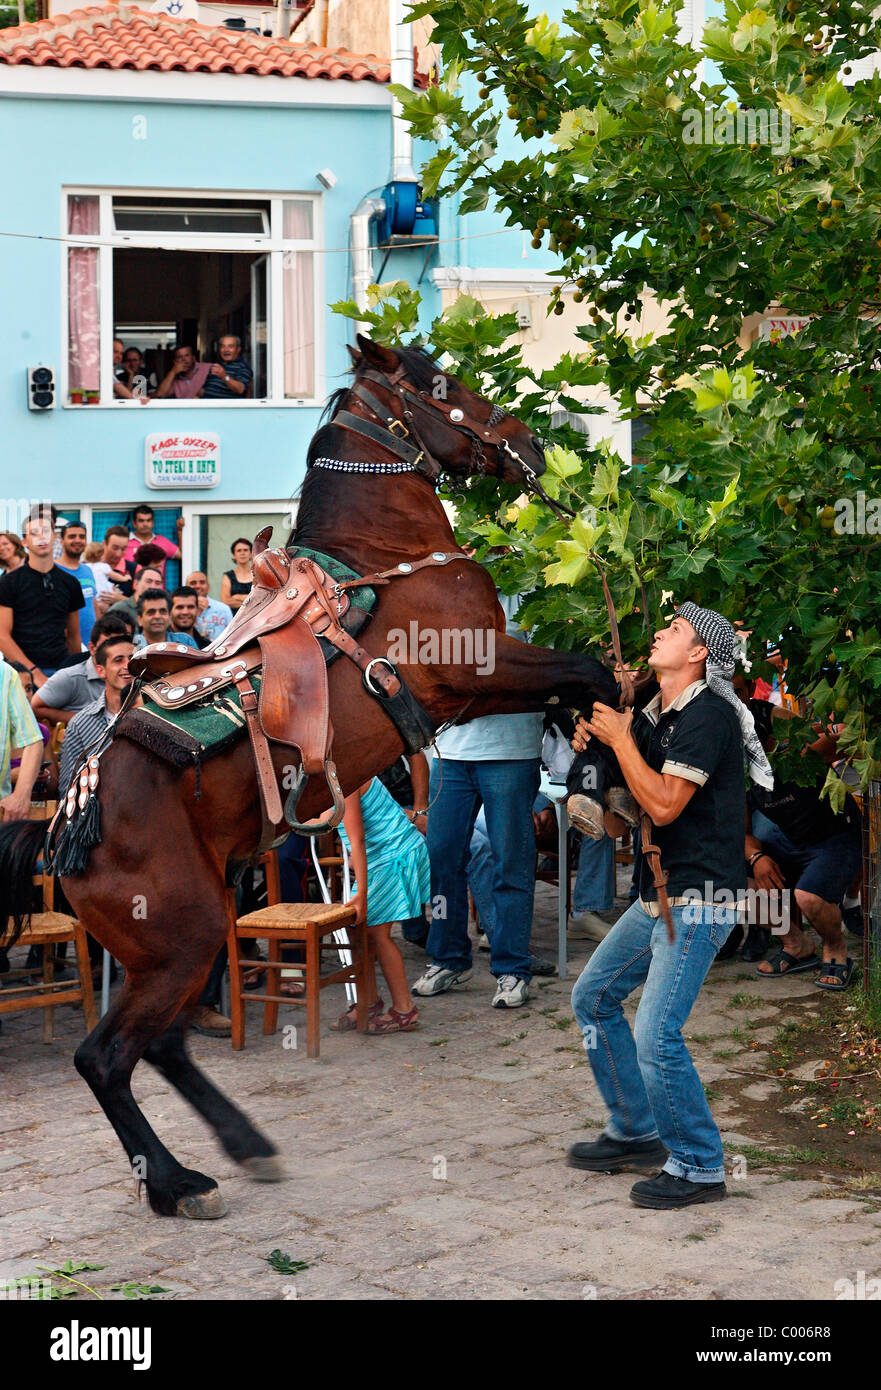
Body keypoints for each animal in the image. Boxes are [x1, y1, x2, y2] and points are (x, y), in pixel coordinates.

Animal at [0, 333, 614, 1217]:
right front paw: (612, 760)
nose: (530, 444)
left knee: (165, 1048)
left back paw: (237, 1149)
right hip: (183, 939)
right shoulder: (482, 668)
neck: (385, 565)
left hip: (187, 942)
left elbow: (582, 685)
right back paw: (175, 1183)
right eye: (439, 383)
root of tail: (62, 830)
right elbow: (592, 673)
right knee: (108, 1057)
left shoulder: (483, 685)